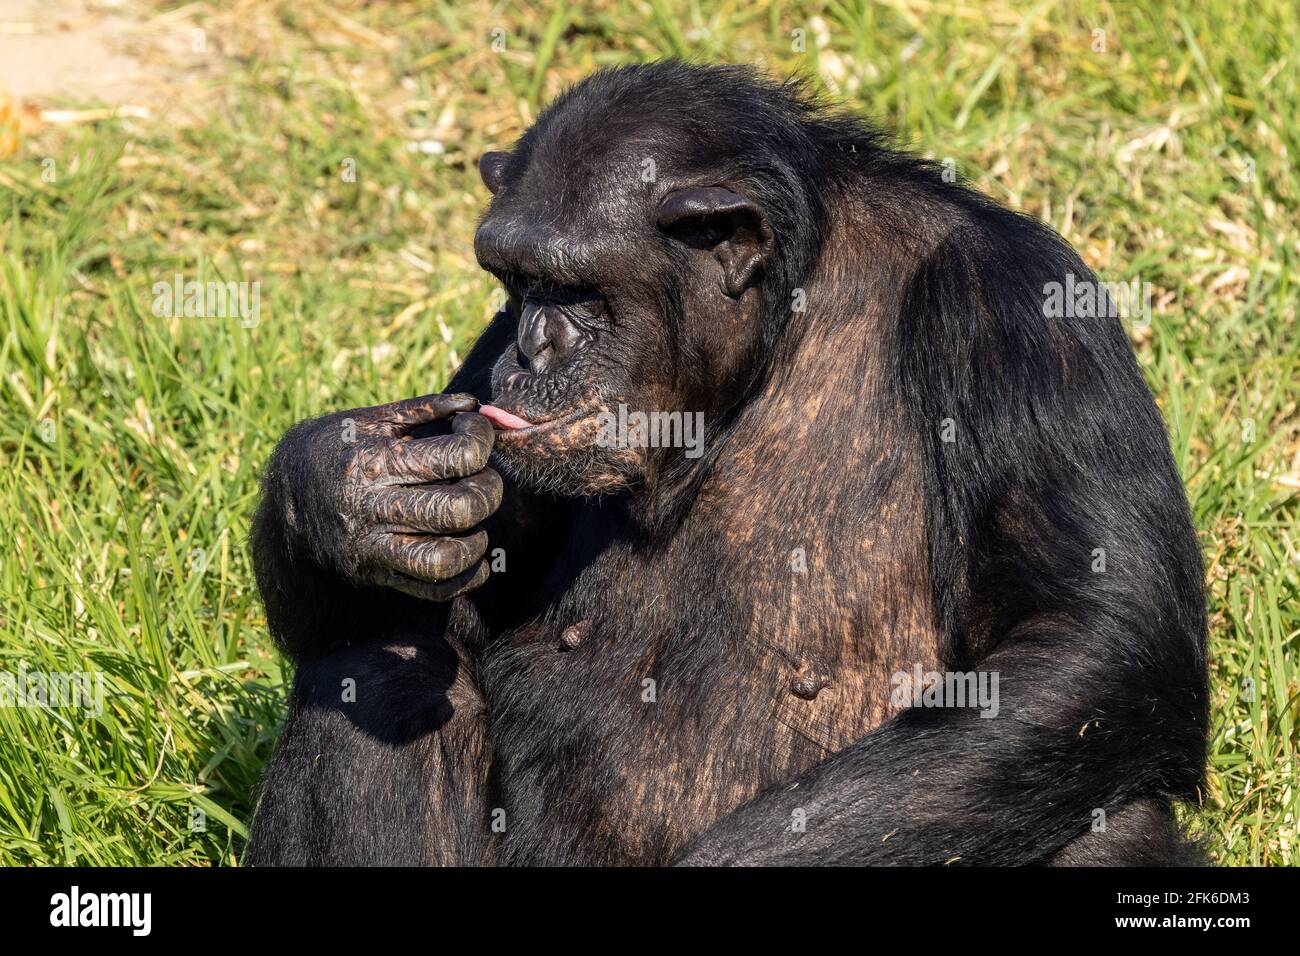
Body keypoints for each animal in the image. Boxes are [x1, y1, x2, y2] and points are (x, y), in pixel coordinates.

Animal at [245, 59, 1206, 868]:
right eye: (515, 282)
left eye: (578, 288)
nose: (531, 347)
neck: (779, 325)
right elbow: (435, 605)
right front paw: (352, 490)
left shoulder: (1019, 312)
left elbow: (1090, 634)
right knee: (375, 670)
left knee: (1105, 823)